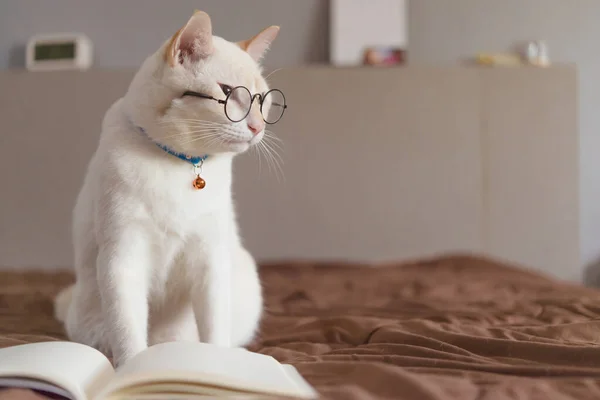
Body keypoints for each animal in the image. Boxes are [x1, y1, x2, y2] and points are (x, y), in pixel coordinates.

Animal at [52, 10, 286, 366]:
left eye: (263, 100)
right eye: (228, 92)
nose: (258, 127)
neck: (180, 164)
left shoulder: (209, 260)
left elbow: (214, 328)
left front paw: (219, 365)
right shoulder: (124, 257)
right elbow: (129, 334)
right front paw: (133, 369)